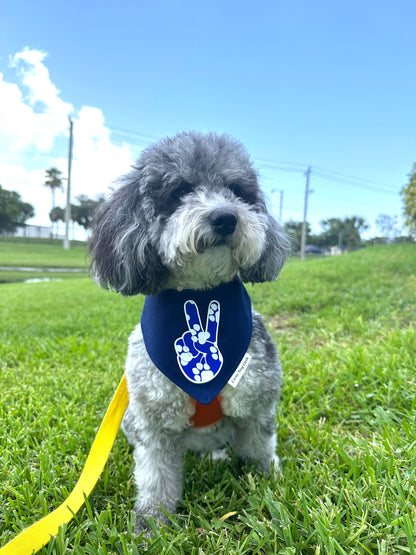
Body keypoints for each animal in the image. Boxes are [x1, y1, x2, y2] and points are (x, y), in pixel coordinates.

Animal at [88, 131, 290, 536]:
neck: (200, 293)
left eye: (236, 191)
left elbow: (259, 451)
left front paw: (268, 485)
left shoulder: (254, 404)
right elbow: (155, 478)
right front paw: (151, 525)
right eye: (180, 190)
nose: (225, 217)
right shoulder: (154, 422)